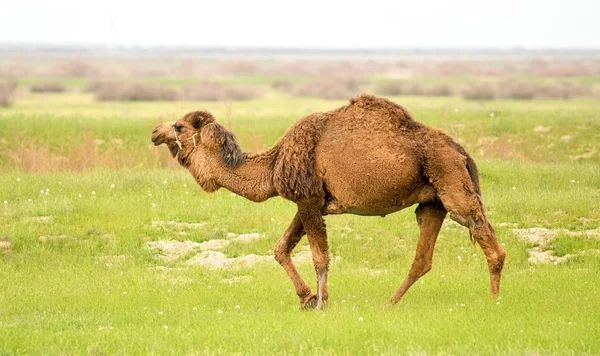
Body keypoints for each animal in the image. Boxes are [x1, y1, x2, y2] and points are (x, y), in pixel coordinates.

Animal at [151, 94, 506, 308]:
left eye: (179, 125)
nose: (155, 131)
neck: (273, 164)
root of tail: (462, 153)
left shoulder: (307, 198)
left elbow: (319, 256)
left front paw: (321, 303)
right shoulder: (310, 201)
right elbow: (280, 249)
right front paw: (307, 298)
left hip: (453, 186)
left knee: (488, 239)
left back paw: (493, 301)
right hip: (433, 202)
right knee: (423, 258)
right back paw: (390, 303)